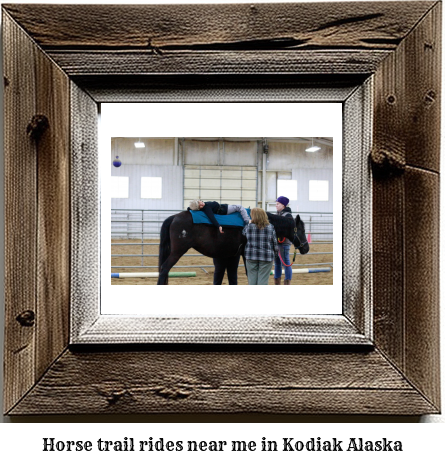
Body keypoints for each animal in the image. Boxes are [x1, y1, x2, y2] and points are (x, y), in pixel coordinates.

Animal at [157, 209, 308, 282]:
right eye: (302, 230)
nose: (306, 248)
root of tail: (174, 217)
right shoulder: (247, 255)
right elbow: (249, 273)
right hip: (177, 251)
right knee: (164, 269)